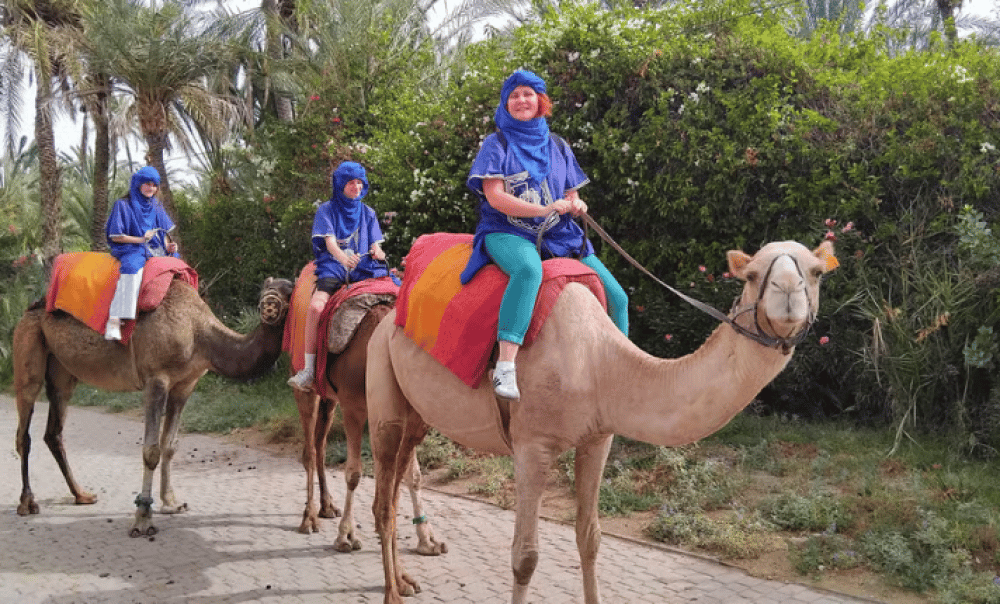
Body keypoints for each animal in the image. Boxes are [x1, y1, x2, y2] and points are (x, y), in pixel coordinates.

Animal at [12, 275, 294, 538]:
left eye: (289, 290)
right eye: (268, 290)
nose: (269, 304)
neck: (198, 332)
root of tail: (29, 309)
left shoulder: (185, 385)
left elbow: (170, 445)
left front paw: (171, 503)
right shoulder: (156, 378)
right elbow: (151, 451)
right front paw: (143, 520)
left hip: (62, 372)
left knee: (54, 431)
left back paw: (82, 495)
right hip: (27, 345)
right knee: (24, 428)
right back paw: (27, 503)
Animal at [291, 301, 446, 556]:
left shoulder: (404, 415)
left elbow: (413, 475)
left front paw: (427, 540)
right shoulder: (353, 406)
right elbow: (353, 473)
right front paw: (346, 536)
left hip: (330, 398)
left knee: (320, 443)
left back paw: (329, 507)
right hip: (306, 383)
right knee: (309, 450)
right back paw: (309, 519)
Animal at [366, 239, 837, 604]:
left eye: (815, 273)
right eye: (753, 275)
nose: (788, 289)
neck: (598, 365)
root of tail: (389, 318)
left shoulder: (598, 438)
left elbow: (590, 539)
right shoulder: (531, 445)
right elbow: (525, 557)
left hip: (417, 413)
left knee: (398, 481)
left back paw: (405, 580)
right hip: (383, 386)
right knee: (382, 495)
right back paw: (391, 591)